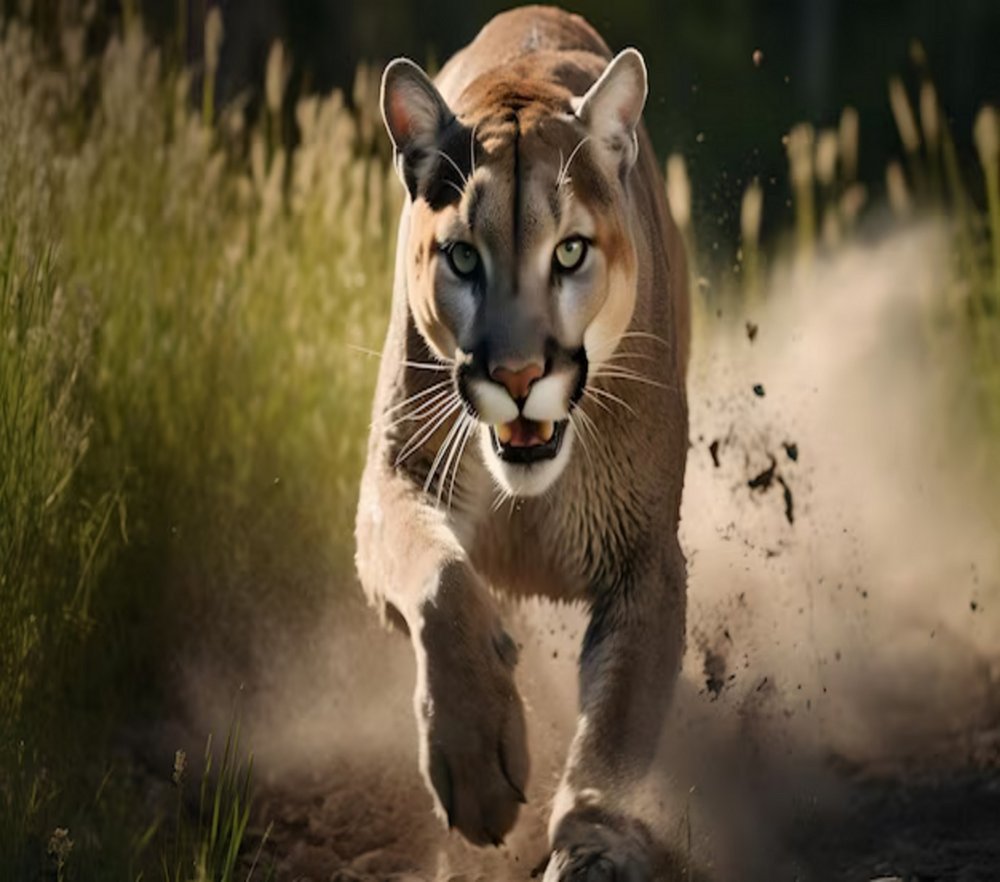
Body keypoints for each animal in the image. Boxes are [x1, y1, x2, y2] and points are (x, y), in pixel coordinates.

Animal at [355, 5, 689, 878]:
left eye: (569, 250)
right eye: (463, 257)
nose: (516, 374)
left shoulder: (647, 557)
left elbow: (617, 729)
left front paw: (593, 847)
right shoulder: (395, 476)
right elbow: (440, 581)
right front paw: (476, 761)